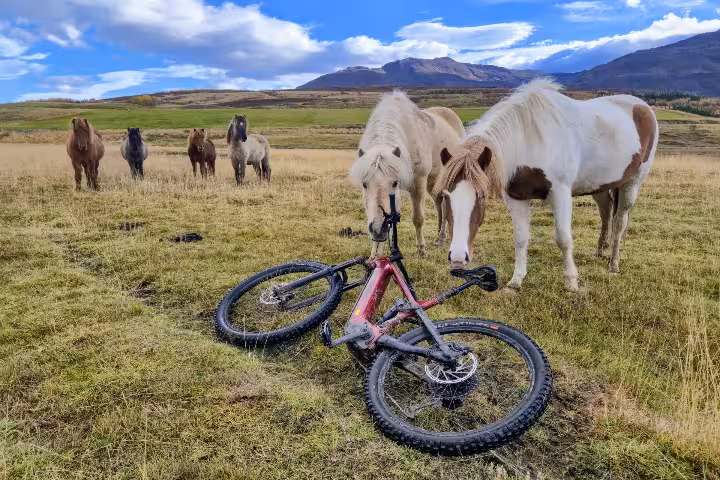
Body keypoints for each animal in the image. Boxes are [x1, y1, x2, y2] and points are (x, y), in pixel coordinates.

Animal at [349, 91, 466, 257]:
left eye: (394, 183)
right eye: (364, 184)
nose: (378, 230)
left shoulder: (418, 183)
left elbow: (418, 218)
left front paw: (421, 250)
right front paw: (375, 255)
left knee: (446, 204)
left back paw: (443, 239)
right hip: (433, 180)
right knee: (439, 203)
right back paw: (439, 237)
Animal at [435, 78, 658, 292]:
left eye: (480, 196)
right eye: (446, 196)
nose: (457, 257)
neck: (529, 142)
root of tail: (642, 107)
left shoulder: (560, 193)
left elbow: (563, 239)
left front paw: (571, 282)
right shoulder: (516, 198)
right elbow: (520, 238)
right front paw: (516, 280)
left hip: (632, 183)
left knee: (619, 221)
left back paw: (613, 264)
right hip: (600, 186)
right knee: (606, 212)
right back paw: (600, 252)